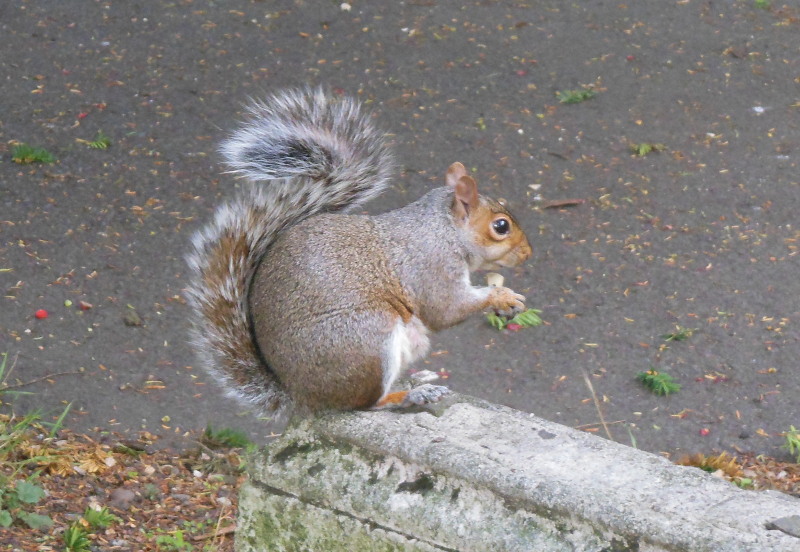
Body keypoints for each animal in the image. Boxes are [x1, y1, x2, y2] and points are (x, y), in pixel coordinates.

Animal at [187, 88, 532, 416]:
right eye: (501, 226)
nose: (528, 253)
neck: (444, 228)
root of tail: (301, 396)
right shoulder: (431, 265)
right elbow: (447, 309)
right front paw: (503, 297)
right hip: (368, 335)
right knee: (364, 403)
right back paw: (410, 395)